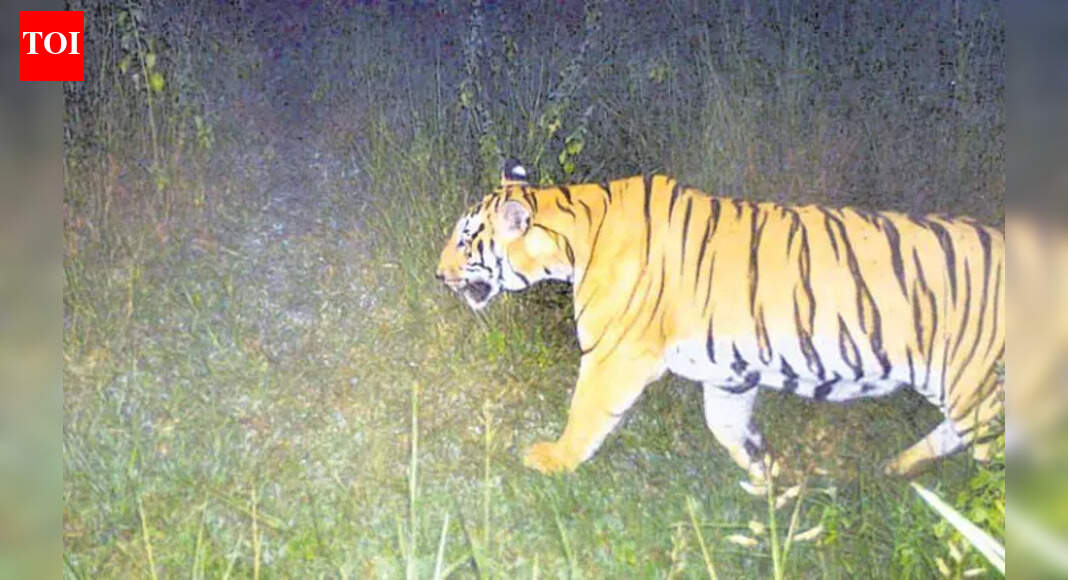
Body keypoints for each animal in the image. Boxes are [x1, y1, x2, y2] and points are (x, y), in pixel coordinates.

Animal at [436, 159, 1005, 488]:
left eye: (465, 240)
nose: (438, 274)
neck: (576, 229)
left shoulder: (613, 355)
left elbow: (586, 413)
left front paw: (554, 459)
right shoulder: (730, 371)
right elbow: (728, 428)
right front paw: (770, 478)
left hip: (981, 391)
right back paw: (898, 468)